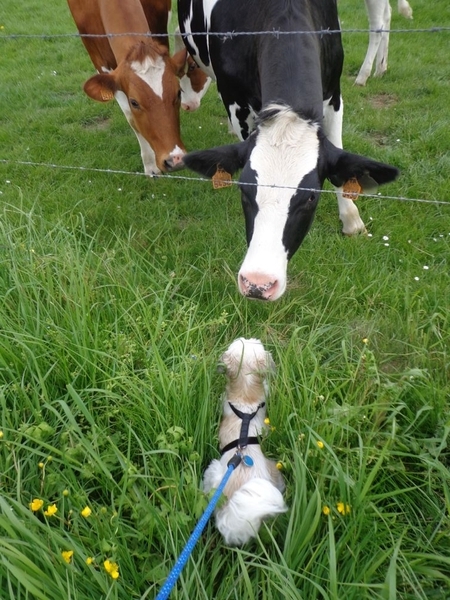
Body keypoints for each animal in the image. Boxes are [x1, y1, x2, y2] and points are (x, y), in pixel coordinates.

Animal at [67, 0, 187, 175]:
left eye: (178, 93)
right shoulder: (100, 61)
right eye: (134, 102)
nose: (175, 159)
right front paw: (150, 166)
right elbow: (131, 118)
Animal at [178, 0, 400, 300]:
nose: (258, 283)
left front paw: (351, 219)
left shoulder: (333, 93)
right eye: (244, 190)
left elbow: (340, 158)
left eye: (312, 197)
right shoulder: (236, 102)